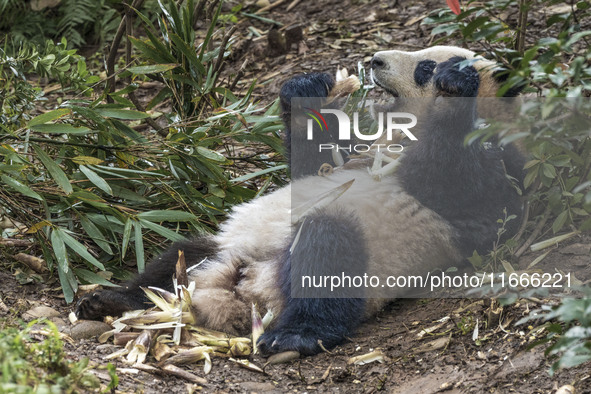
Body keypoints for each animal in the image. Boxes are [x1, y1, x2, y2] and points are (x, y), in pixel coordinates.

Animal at [76, 46, 524, 358]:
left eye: (424, 67)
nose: (376, 60)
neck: (398, 132)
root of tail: (242, 292)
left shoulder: (496, 169)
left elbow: (461, 187)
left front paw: (454, 85)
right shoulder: (357, 150)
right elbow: (314, 161)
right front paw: (308, 89)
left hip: (368, 254)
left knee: (327, 253)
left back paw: (294, 335)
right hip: (227, 246)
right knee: (178, 256)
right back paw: (110, 300)